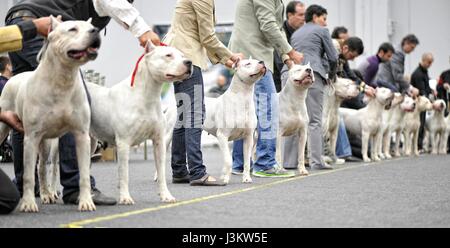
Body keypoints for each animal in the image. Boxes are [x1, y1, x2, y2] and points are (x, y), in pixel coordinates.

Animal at [0, 17, 99, 212]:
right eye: (72, 29)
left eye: (91, 27)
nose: (95, 31)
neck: (63, 79)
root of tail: (14, 77)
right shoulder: (31, 138)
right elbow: (28, 175)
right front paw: (28, 203)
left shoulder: (81, 135)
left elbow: (83, 173)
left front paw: (85, 201)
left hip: (46, 142)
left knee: (42, 168)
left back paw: (47, 194)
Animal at [87, 42, 192, 203]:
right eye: (168, 55)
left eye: (182, 55)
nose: (189, 62)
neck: (146, 95)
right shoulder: (123, 143)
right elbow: (124, 173)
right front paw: (125, 197)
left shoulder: (159, 141)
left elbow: (161, 172)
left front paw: (166, 195)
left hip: (90, 142)